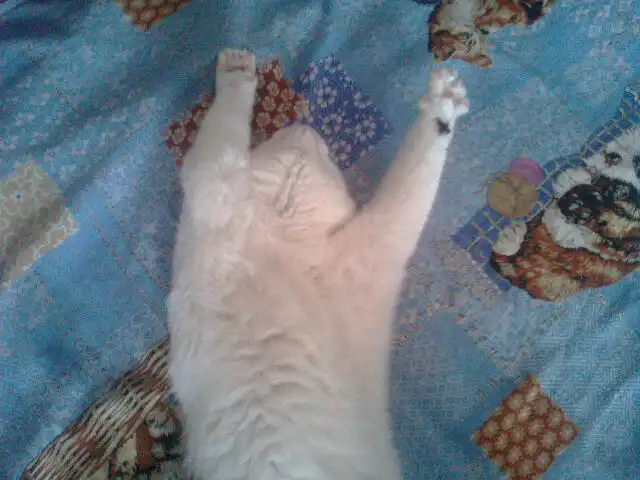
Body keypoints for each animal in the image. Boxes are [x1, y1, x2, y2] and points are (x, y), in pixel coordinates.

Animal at [167, 48, 469, 479]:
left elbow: (220, 140)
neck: (277, 235)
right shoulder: (373, 251)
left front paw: (237, 75)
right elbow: (414, 178)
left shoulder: (214, 197)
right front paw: (443, 105)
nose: (305, 127)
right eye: (330, 157)